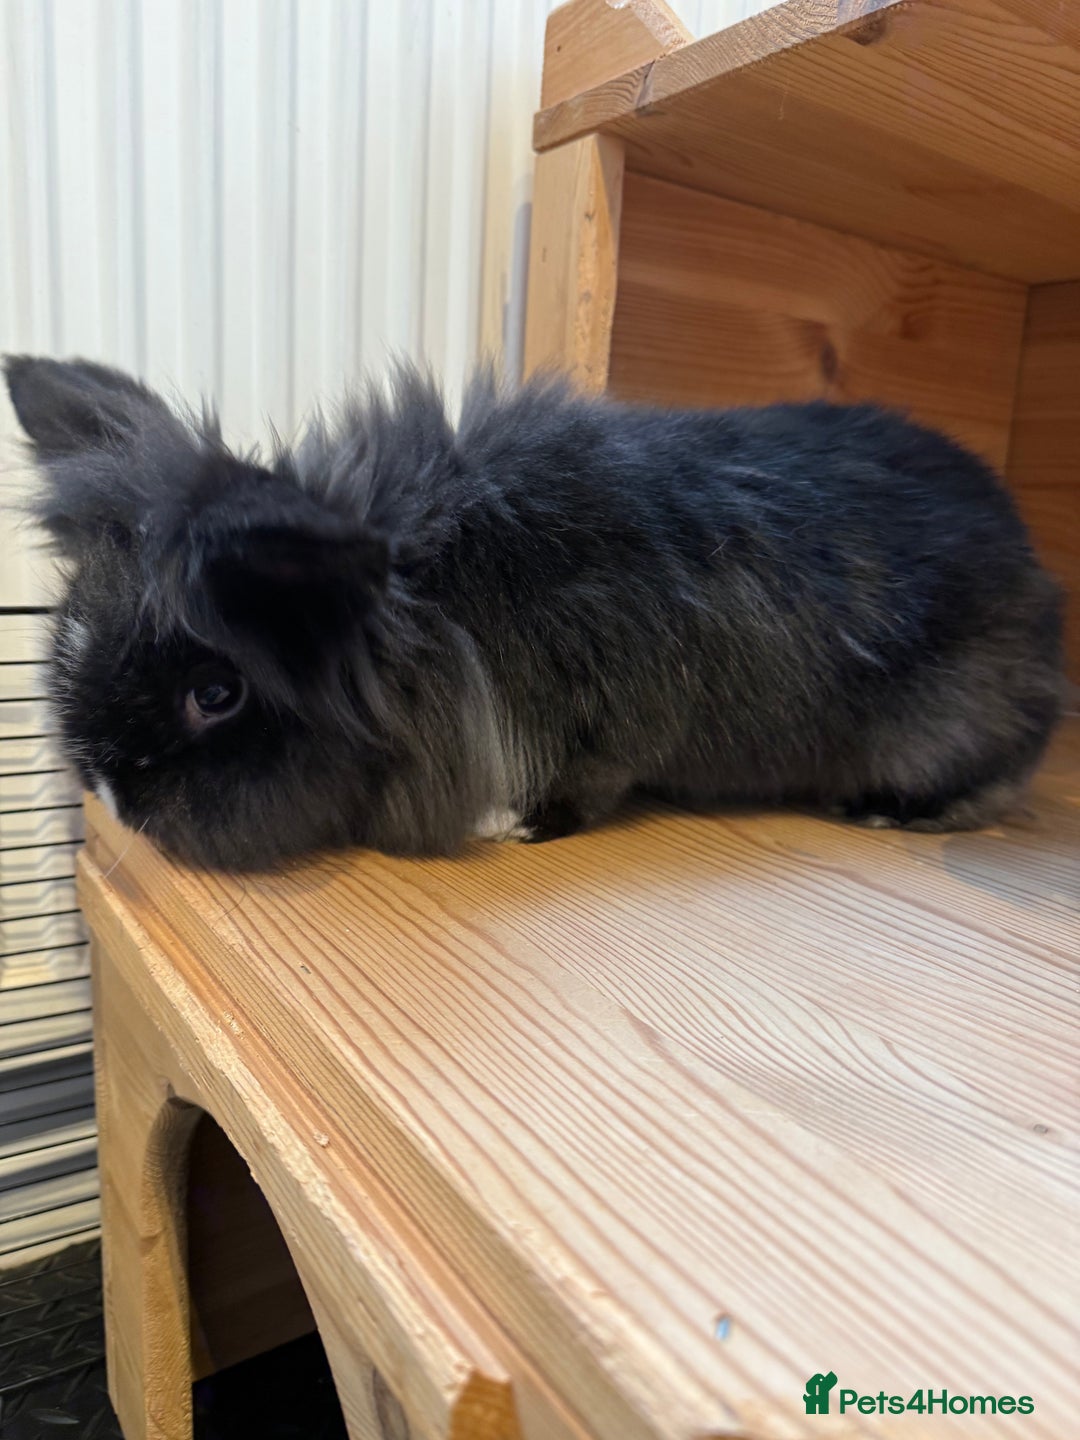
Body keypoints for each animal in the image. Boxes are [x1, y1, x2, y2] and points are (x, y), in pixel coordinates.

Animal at [3, 354, 1064, 871]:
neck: (434, 597)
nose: (108, 793)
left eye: (216, 693)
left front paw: (509, 826)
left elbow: (584, 790)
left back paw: (881, 809)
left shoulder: (615, 717)